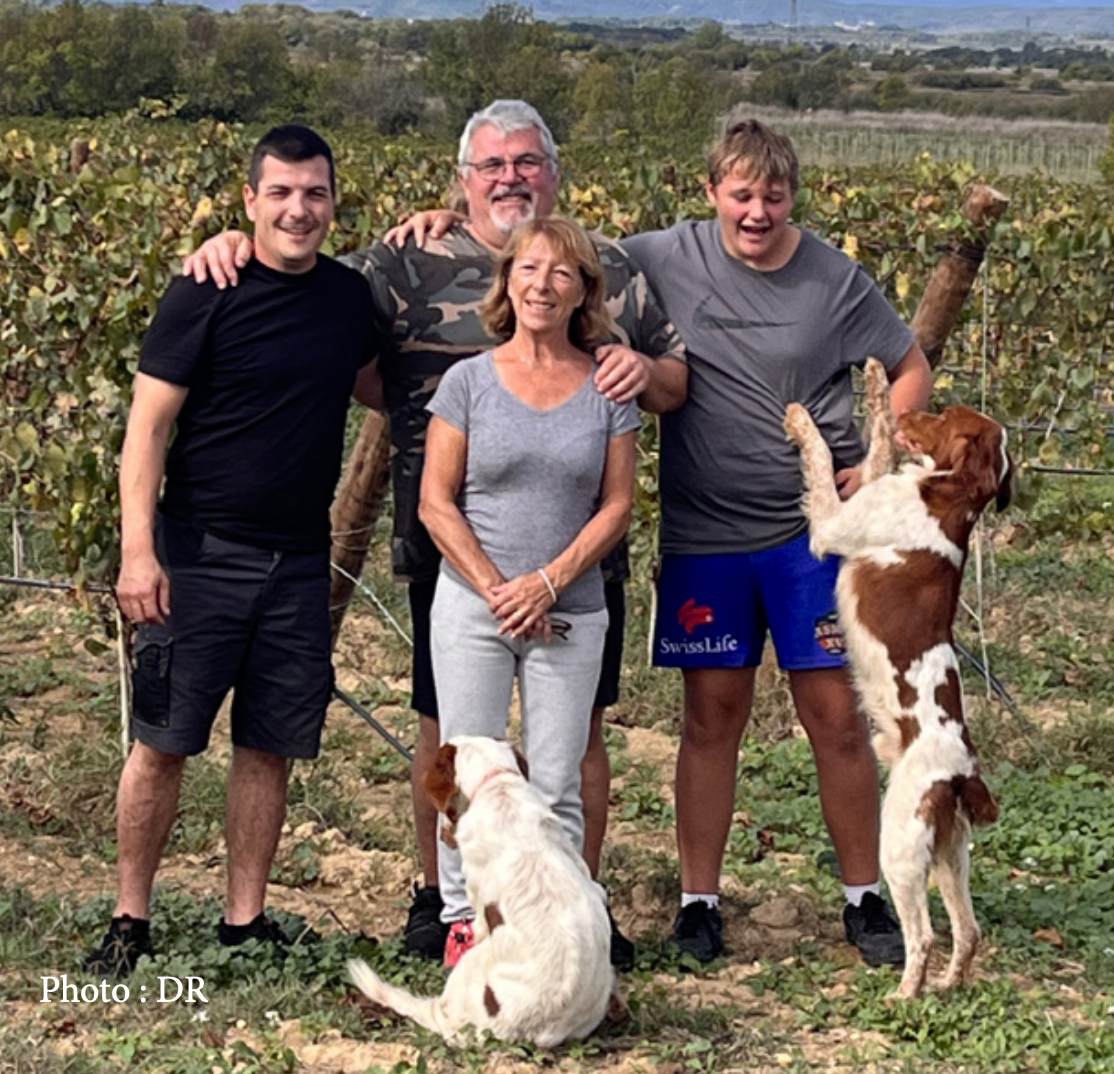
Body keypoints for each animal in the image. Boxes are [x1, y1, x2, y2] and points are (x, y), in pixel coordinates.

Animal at [784, 360, 1011, 998]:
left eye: (943, 415)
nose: (917, 409)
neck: (952, 496)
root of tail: (961, 774)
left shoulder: (834, 524)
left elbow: (820, 458)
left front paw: (801, 418)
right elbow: (878, 442)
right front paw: (878, 384)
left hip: (901, 845)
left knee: (925, 935)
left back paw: (905, 995)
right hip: (949, 852)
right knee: (968, 931)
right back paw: (945, 988)